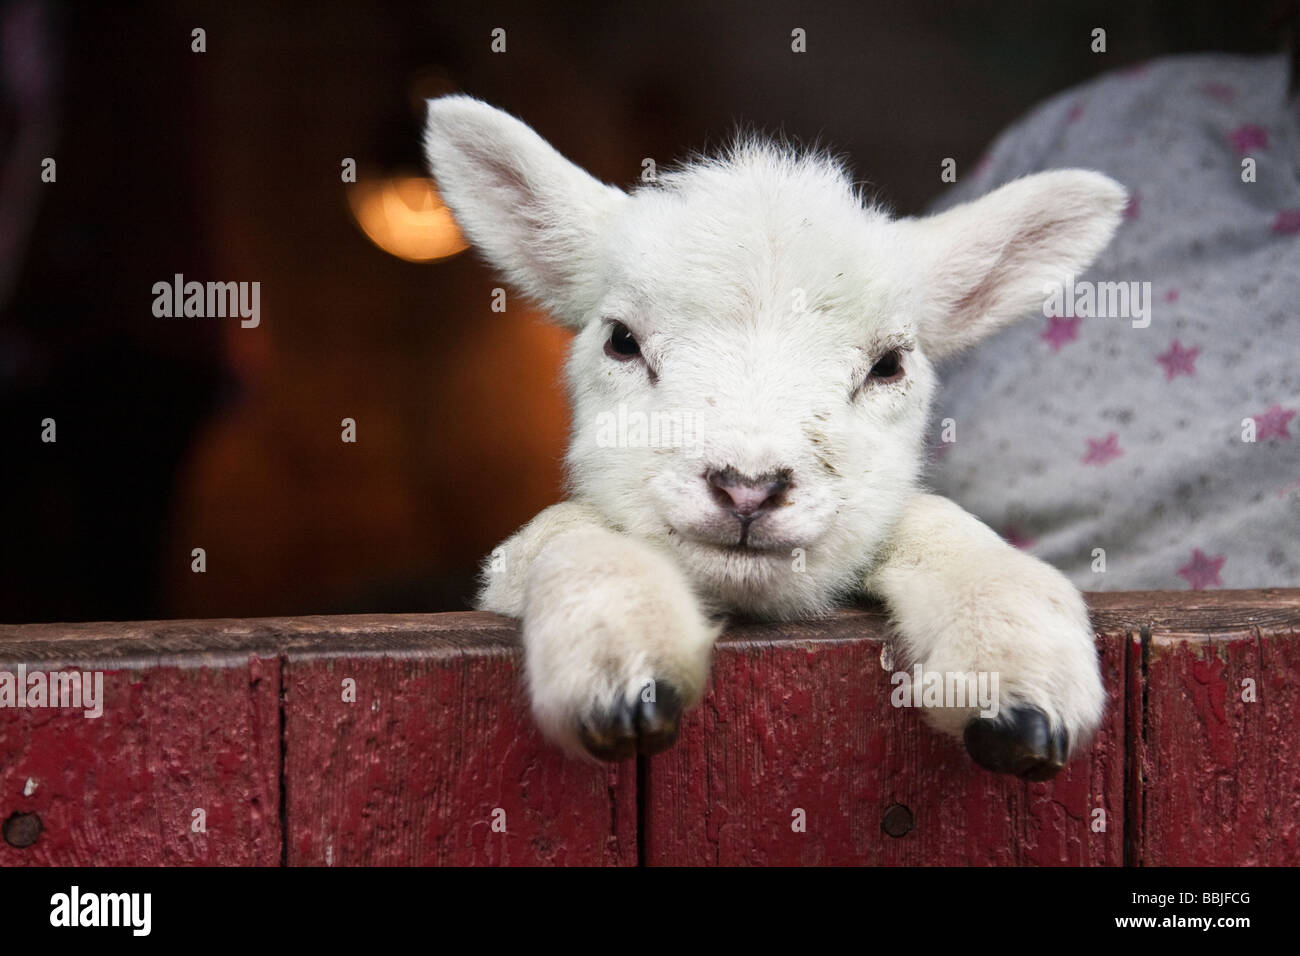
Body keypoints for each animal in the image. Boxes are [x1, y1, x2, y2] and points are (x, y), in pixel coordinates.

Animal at [421, 95, 1123, 785]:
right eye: (620, 339)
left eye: (889, 364)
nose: (748, 490)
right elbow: (559, 535)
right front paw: (623, 656)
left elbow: (940, 525)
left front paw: (1018, 671)